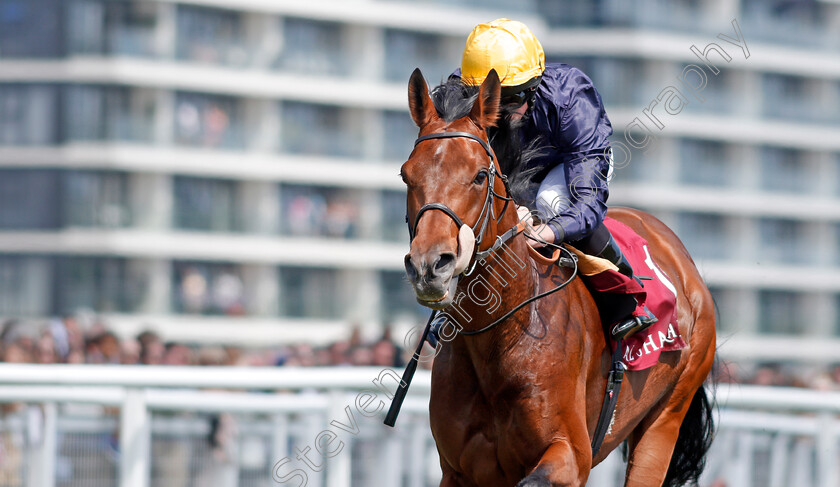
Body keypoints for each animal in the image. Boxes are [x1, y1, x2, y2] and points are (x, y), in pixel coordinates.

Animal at [400, 69, 716, 487]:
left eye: (480, 175)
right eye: (406, 174)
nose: (429, 266)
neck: (501, 335)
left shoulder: (572, 454)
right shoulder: (458, 470)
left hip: (667, 416)